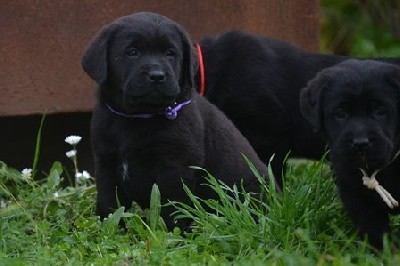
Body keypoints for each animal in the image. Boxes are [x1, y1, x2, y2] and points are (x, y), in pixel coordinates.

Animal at [81, 11, 276, 230]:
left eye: (170, 53)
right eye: (132, 52)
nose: (157, 76)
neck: (138, 117)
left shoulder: (176, 166)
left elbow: (172, 204)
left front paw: (174, 231)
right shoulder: (106, 162)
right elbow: (109, 202)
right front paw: (110, 229)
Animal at [300, 59, 400, 249]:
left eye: (380, 111)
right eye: (340, 113)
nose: (360, 143)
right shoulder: (354, 194)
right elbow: (374, 230)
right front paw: (381, 252)